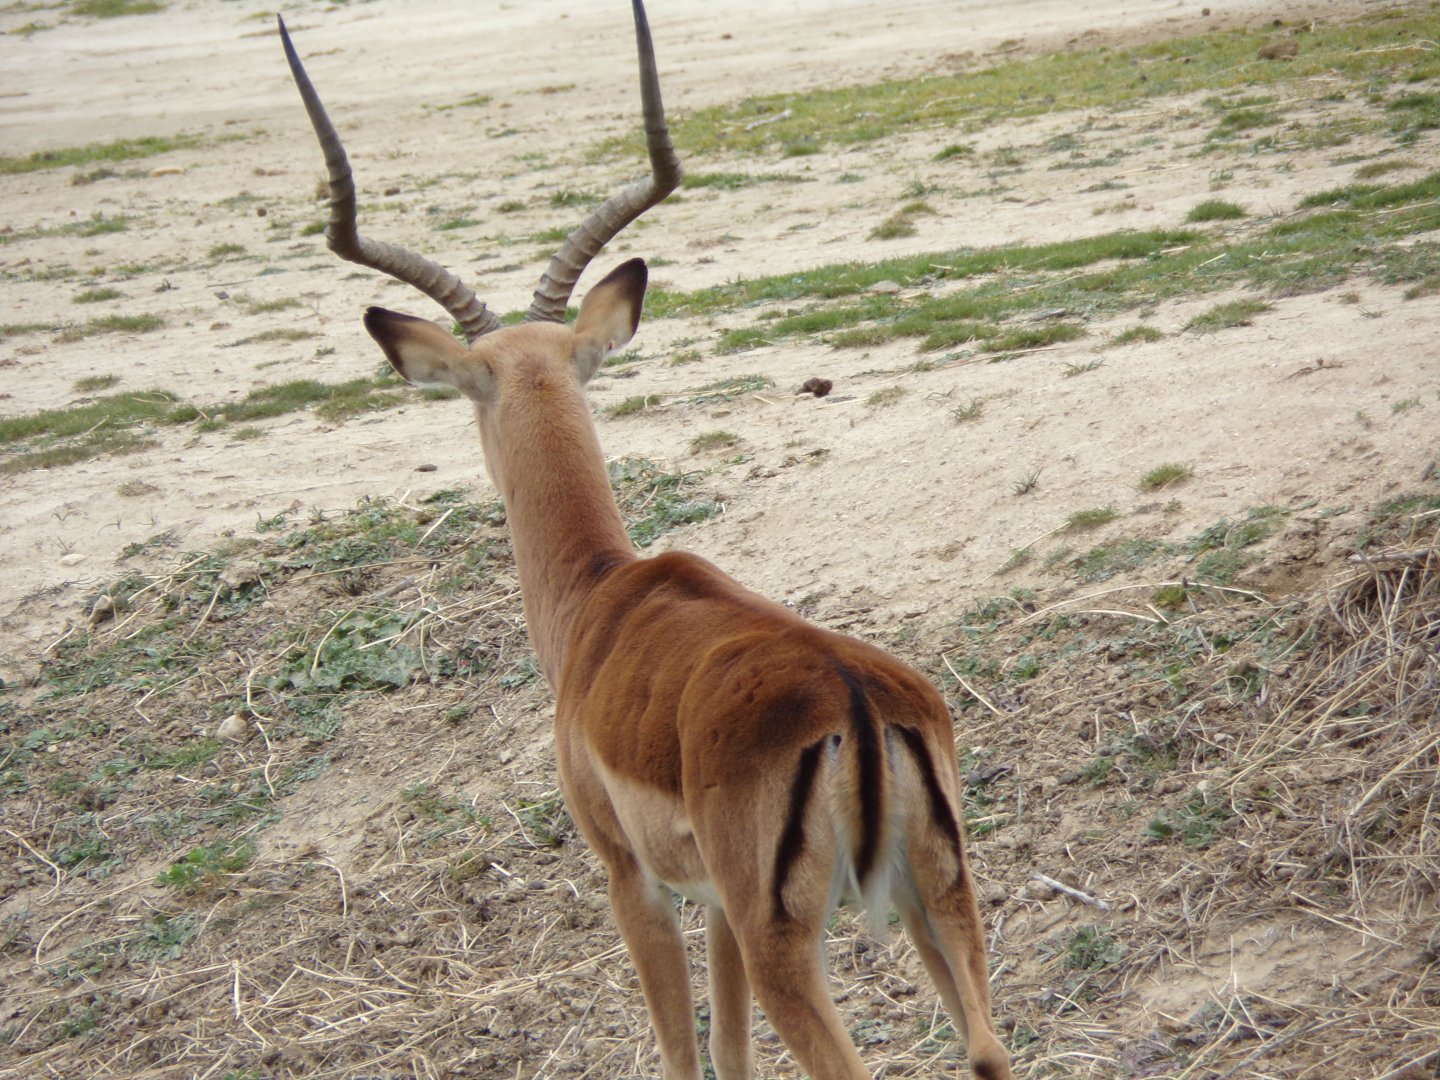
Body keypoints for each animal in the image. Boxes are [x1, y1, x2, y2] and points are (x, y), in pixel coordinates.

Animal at [279, 5, 1014, 1078]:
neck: (598, 596)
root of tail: (855, 702)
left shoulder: (634, 880)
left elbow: (681, 1049)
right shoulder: (710, 904)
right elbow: (732, 1052)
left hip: (790, 936)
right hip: (938, 902)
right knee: (989, 1049)